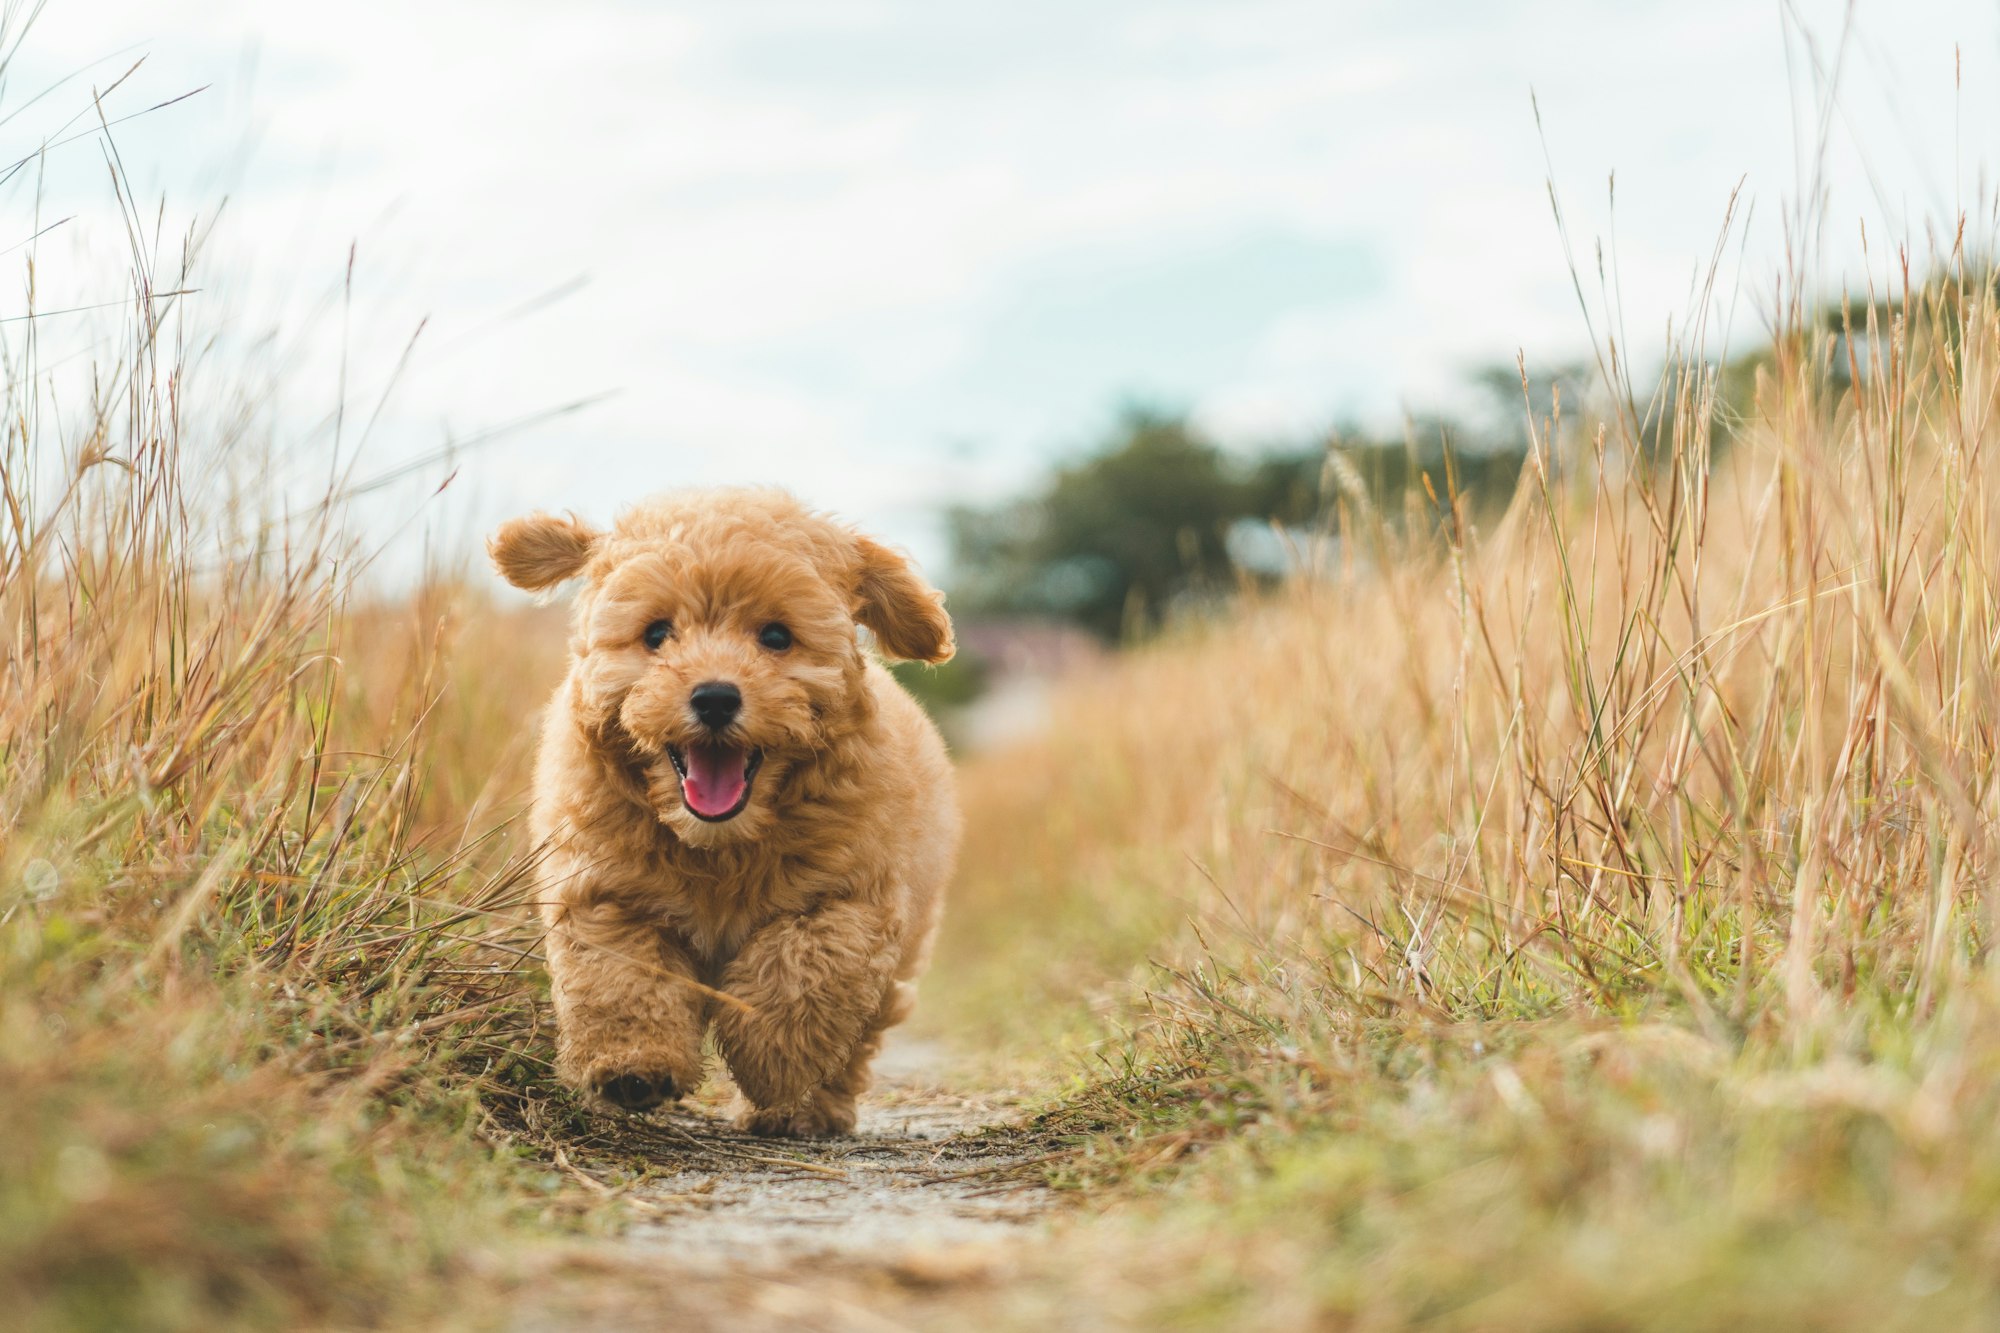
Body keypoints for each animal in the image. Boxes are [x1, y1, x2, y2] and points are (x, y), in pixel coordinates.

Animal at [490, 486, 960, 1128]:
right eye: (657, 633)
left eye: (777, 637)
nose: (714, 697)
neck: (719, 845)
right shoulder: (606, 888)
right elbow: (621, 974)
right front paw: (631, 1066)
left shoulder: (848, 894)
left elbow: (804, 968)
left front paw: (775, 1061)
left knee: (859, 1034)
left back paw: (806, 1112)